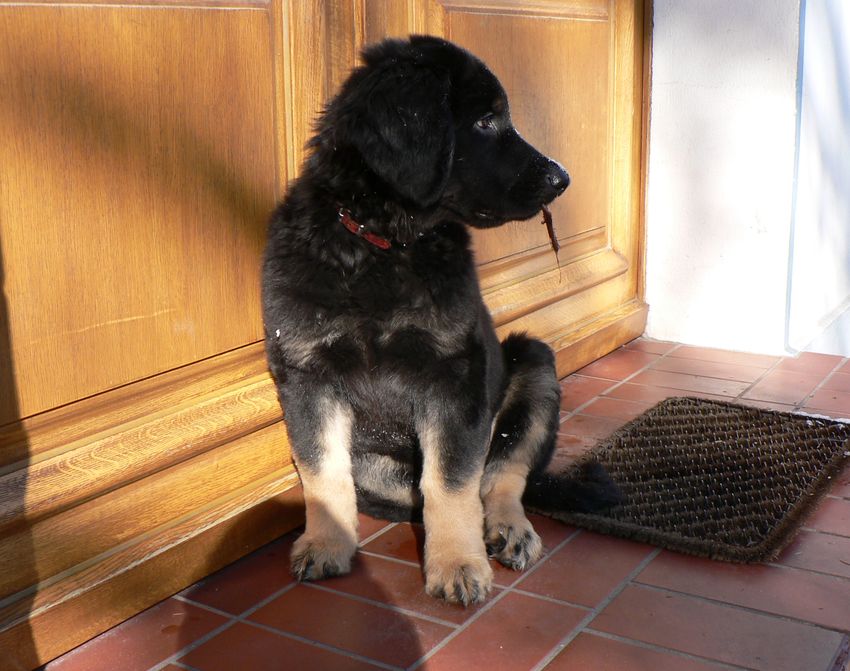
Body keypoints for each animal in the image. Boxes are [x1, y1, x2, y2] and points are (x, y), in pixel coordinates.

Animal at [262, 35, 619, 605]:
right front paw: (327, 542)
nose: (562, 178)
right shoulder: (307, 377)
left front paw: (457, 564)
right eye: (485, 122)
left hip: (534, 362)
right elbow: (322, 470)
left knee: (501, 476)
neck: (382, 246)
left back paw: (509, 529)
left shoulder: (454, 378)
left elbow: (450, 482)